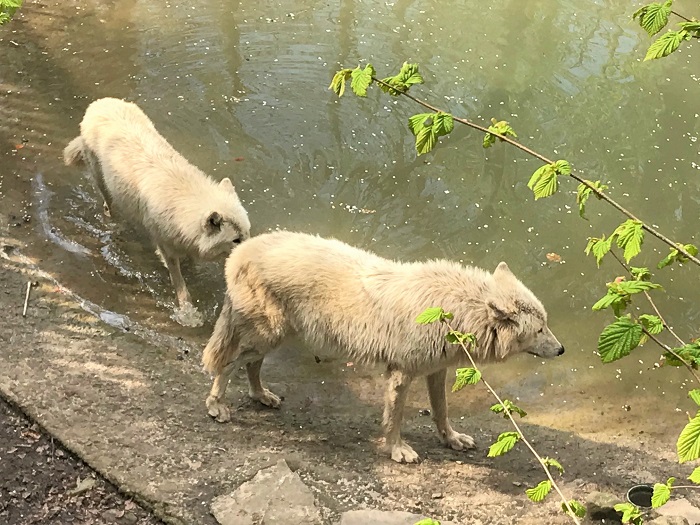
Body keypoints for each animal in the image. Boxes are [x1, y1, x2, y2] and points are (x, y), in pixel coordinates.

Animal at [62, 96, 249, 322]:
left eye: (247, 233)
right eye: (236, 240)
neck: (183, 204)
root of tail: (100, 102)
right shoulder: (167, 249)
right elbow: (182, 288)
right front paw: (188, 315)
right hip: (103, 184)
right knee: (108, 207)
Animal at [201, 231, 564, 460]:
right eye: (540, 329)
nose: (562, 350)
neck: (453, 312)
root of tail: (241, 251)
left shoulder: (436, 371)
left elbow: (441, 411)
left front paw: (452, 440)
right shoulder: (400, 373)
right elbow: (395, 418)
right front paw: (397, 451)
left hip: (277, 336)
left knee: (251, 364)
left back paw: (261, 396)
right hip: (269, 334)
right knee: (227, 363)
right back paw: (217, 406)